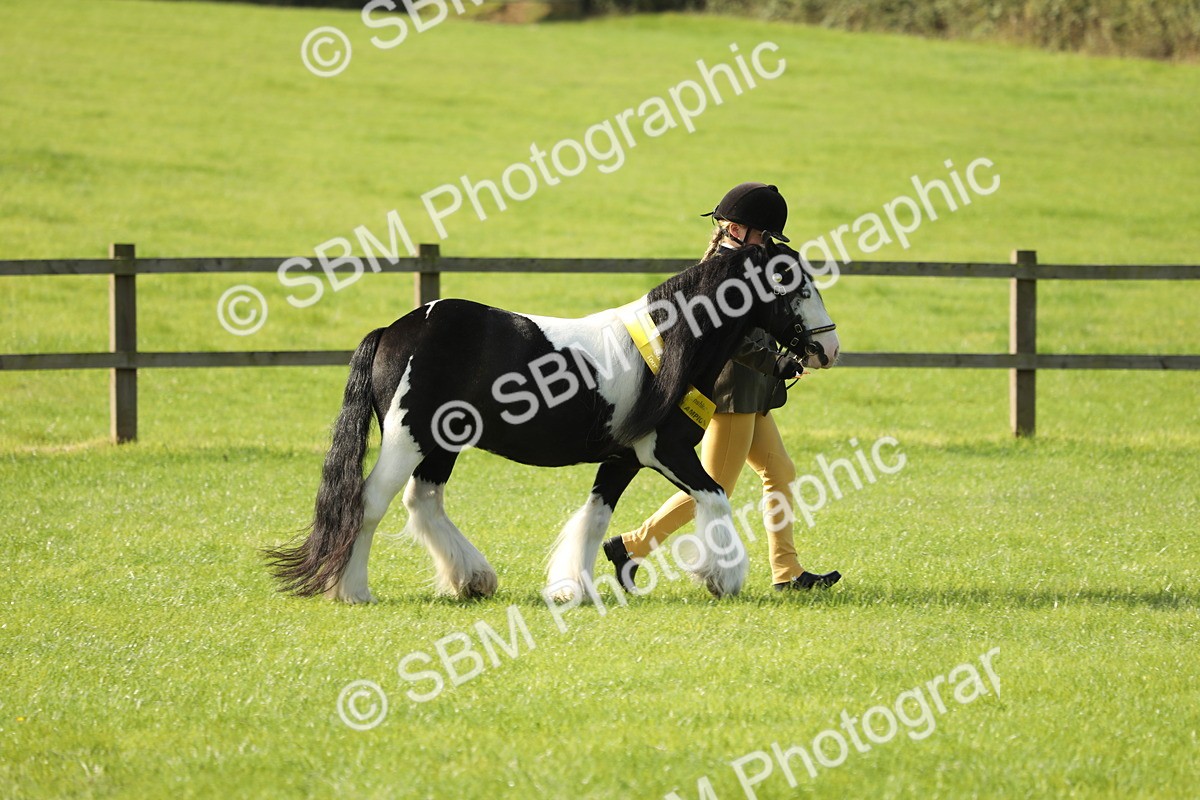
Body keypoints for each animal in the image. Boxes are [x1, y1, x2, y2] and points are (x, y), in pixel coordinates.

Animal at [264, 242, 839, 603]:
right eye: (793, 284)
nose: (827, 348)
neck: (670, 345)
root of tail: (394, 329)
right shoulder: (665, 451)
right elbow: (716, 495)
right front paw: (723, 576)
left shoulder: (623, 458)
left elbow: (596, 519)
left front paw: (573, 588)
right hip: (408, 439)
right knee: (369, 502)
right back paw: (354, 591)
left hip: (441, 444)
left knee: (423, 501)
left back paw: (473, 579)